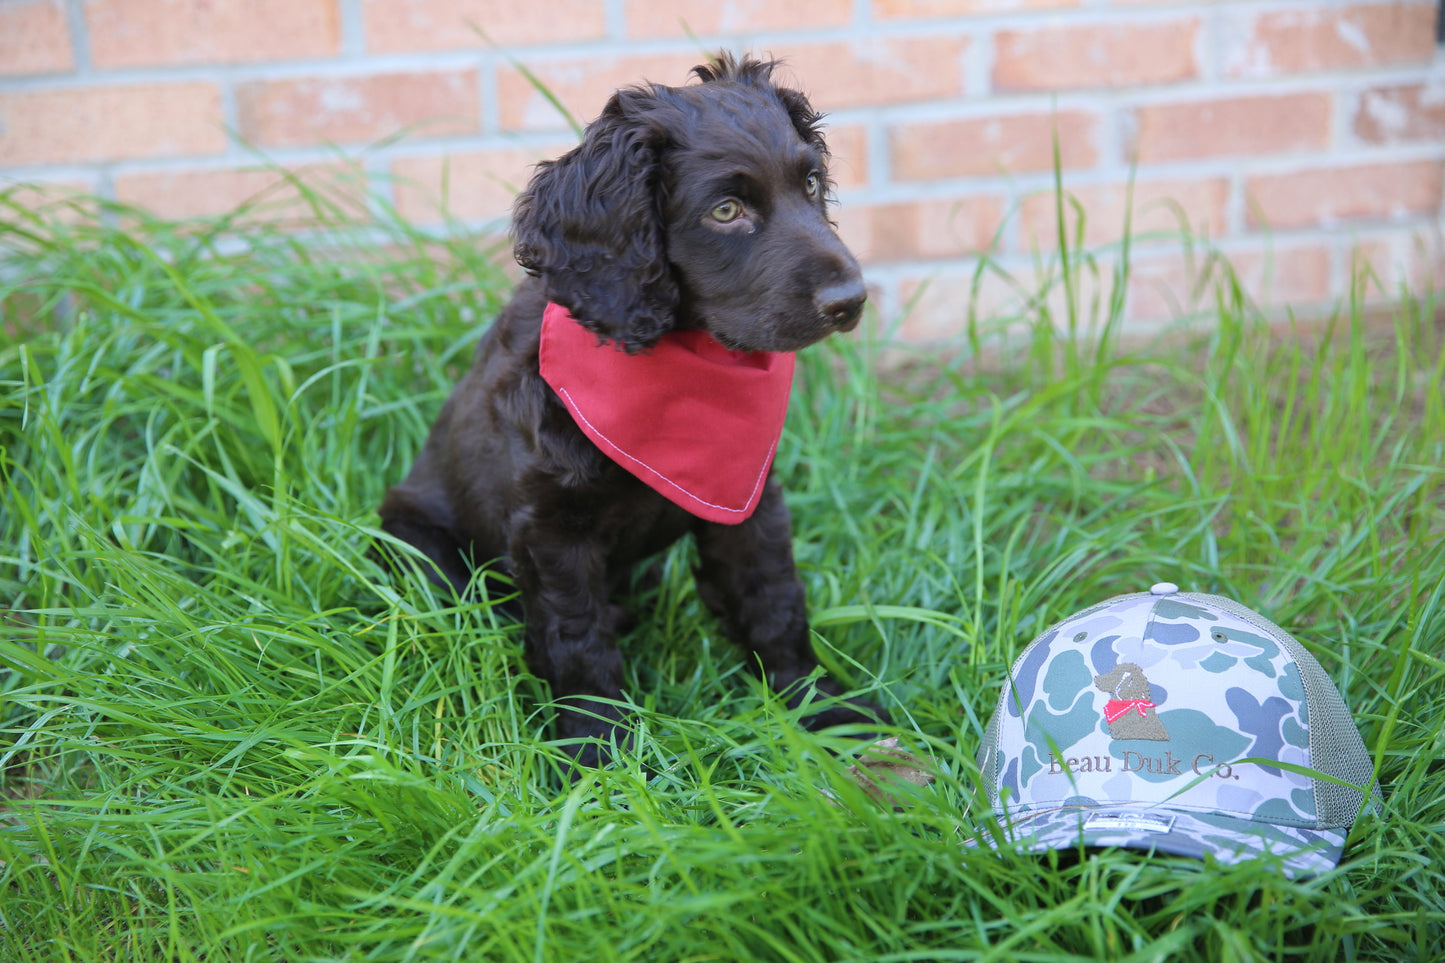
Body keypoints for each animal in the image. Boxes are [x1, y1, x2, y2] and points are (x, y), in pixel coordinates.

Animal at [378, 54, 884, 763]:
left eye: (811, 183)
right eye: (726, 210)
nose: (850, 301)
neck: (674, 357)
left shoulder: (746, 499)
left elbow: (773, 598)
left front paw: (823, 709)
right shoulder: (552, 530)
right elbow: (577, 638)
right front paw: (597, 753)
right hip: (415, 544)